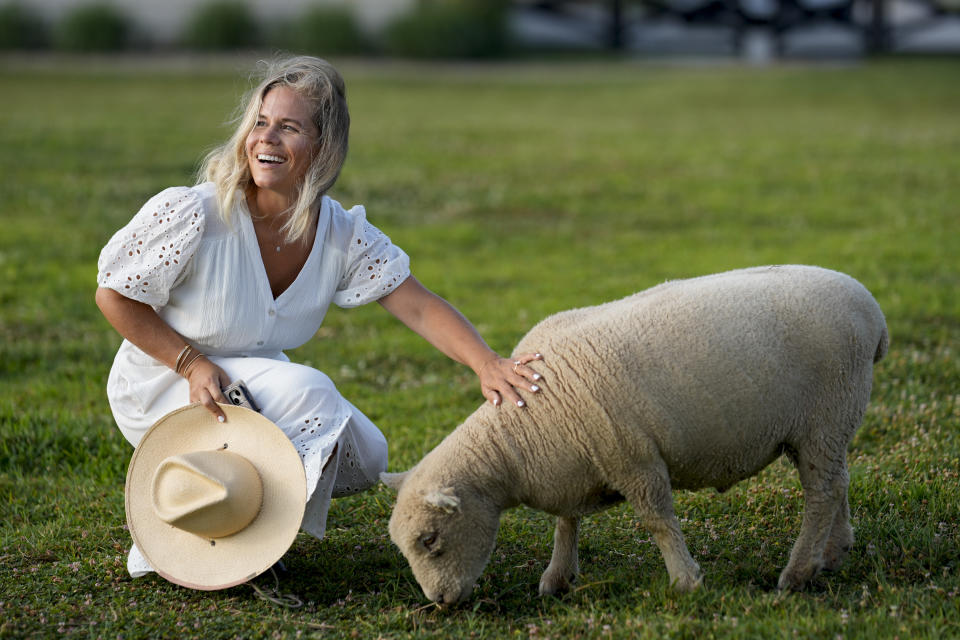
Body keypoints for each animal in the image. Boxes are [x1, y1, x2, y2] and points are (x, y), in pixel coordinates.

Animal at [378, 264, 888, 604]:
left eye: (430, 540)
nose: (439, 602)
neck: (519, 441)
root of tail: (872, 310)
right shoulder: (578, 463)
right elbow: (566, 522)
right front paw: (558, 578)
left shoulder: (632, 458)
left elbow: (657, 520)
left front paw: (685, 581)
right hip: (823, 425)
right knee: (836, 482)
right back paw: (833, 553)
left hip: (827, 412)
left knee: (821, 492)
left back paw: (798, 573)